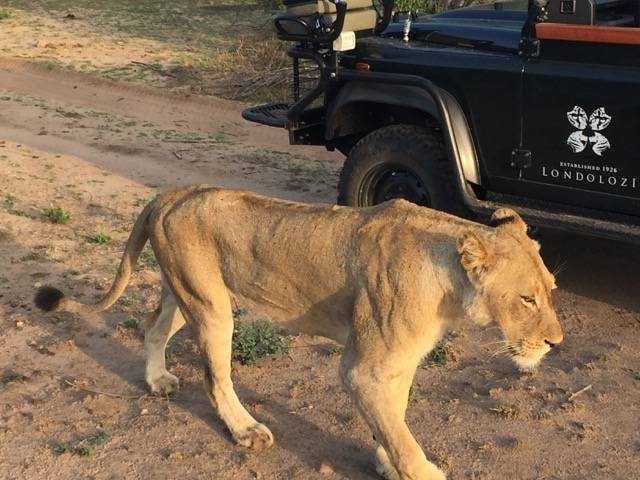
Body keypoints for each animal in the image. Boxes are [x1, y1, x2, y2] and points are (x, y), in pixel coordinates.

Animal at [35, 186, 563, 480]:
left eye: (551, 290)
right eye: (527, 299)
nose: (555, 343)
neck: (449, 280)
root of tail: (166, 195)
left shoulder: (397, 362)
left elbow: (394, 418)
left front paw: (385, 461)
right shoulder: (364, 368)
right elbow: (402, 434)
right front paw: (414, 469)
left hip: (183, 290)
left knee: (152, 327)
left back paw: (157, 380)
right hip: (212, 305)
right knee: (215, 376)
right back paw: (246, 430)